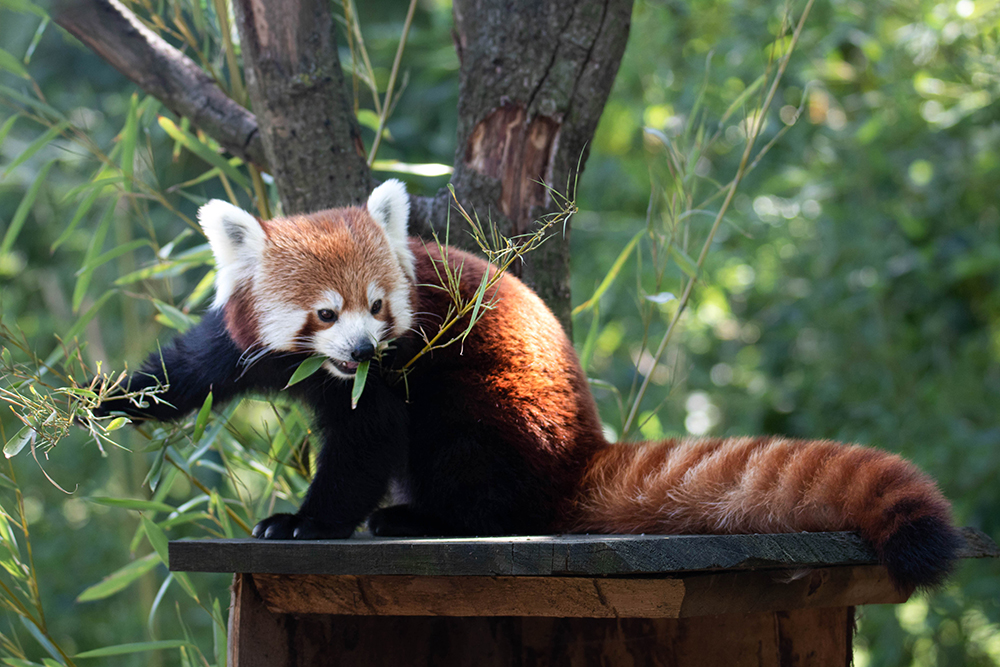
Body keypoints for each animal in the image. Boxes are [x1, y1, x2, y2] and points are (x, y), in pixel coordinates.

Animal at [97, 179, 964, 588]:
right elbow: (187, 370)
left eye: (379, 307)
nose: (366, 347)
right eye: (325, 312)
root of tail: (586, 447)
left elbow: (364, 445)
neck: (329, 369)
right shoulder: (247, 346)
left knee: (474, 464)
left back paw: (420, 520)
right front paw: (98, 402)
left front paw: (308, 523)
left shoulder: (398, 368)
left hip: (496, 412)